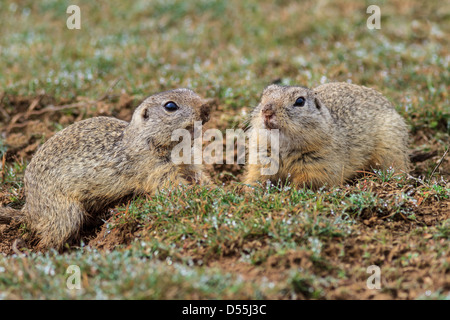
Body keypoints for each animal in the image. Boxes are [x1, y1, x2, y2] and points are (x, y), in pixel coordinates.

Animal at [0, 87, 211, 250]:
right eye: (170, 106)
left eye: (191, 91)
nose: (207, 107)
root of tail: (29, 210)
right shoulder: (154, 168)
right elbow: (171, 184)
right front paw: (195, 194)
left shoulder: (189, 161)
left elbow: (198, 174)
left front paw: (210, 186)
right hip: (63, 212)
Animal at [244, 81, 410, 189]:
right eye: (263, 96)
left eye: (300, 101)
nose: (266, 111)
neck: (284, 146)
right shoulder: (260, 158)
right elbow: (256, 177)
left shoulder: (320, 163)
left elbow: (310, 181)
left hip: (391, 149)